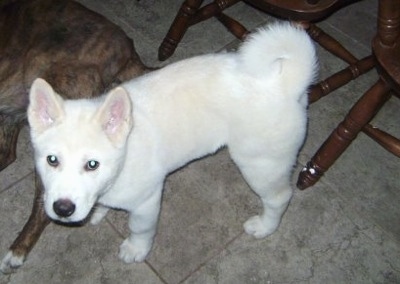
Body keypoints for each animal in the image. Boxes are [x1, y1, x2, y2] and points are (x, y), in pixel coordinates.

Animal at [27, 23, 316, 262]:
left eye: (92, 164)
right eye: (52, 160)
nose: (63, 209)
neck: (125, 155)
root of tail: (285, 83)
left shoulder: (147, 202)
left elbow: (140, 229)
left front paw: (136, 250)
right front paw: (100, 210)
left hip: (260, 163)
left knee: (280, 196)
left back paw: (265, 226)